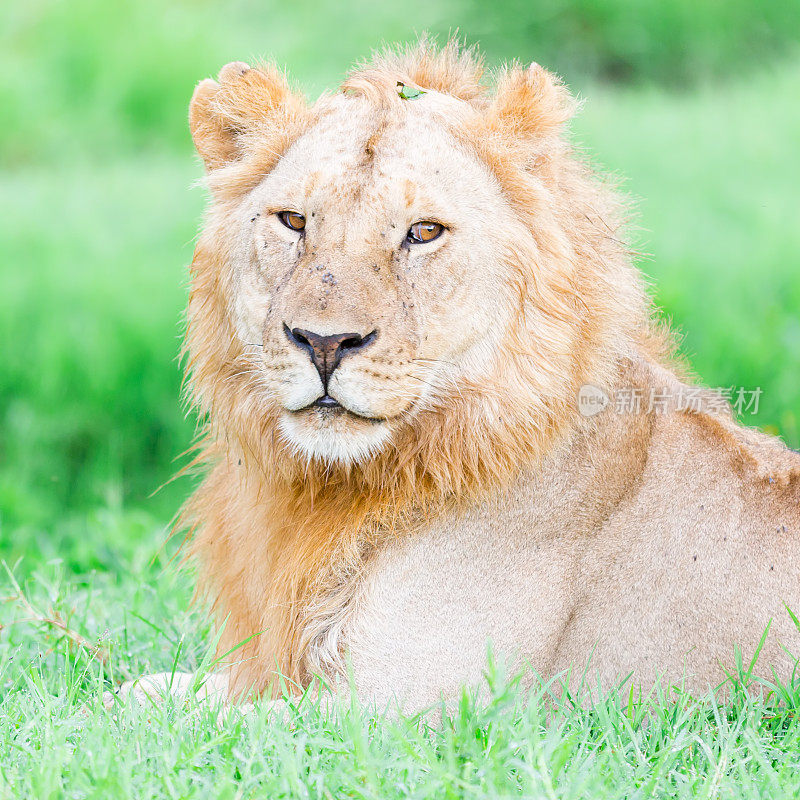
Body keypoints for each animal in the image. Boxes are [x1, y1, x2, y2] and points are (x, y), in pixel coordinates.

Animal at [115, 42, 796, 712]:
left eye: (424, 232)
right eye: (293, 221)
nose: (324, 343)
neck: (343, 488)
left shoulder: (414, 703)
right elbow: (149, 692)